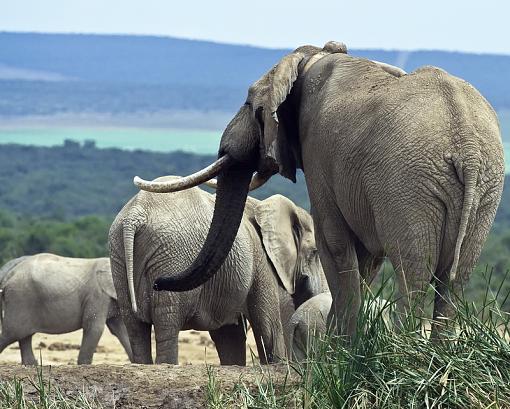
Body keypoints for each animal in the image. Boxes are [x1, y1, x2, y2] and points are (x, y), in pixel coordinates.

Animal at [0, 252, 133, 364]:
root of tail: (8, 275)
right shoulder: (97, 296)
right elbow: (95, 327)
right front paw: (83, 365)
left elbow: (120, 329)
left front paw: (137, 362)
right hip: (19, 298)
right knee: (11, 334)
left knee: (24, 336)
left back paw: (32, 365)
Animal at [109, 178, 326, 364]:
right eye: (315, 252)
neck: (263, 207)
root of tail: (135, 215)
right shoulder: (261, 260)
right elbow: (268, 326)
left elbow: (229, 335)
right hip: (171, 257)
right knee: (167, 324)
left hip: (119, 254)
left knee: (136, 327)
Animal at [136, 40, 506, 338]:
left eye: (252, 106)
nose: (156, 282)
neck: (312, 57)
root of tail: (467, 146)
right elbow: (366, 259)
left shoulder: (319, 154)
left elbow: (335, 243)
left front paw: (336, 357)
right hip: (484, 189)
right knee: (455, 279)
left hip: (411, 184)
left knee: (414, 272)